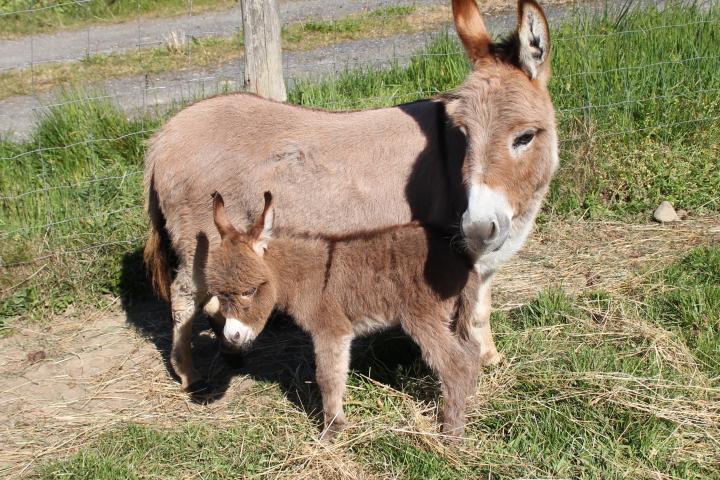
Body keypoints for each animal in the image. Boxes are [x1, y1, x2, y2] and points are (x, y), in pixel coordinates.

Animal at [205, 192, 480, 442]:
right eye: (218, 293)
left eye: (249, 291)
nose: (231, 336)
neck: (307, 277)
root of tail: (458, 255)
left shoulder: (331, 330)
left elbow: (328, 378)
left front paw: (331, 431)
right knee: (471, 354)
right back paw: (468, 404)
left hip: (422, 317)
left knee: (456, 365)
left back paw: (452, 435)